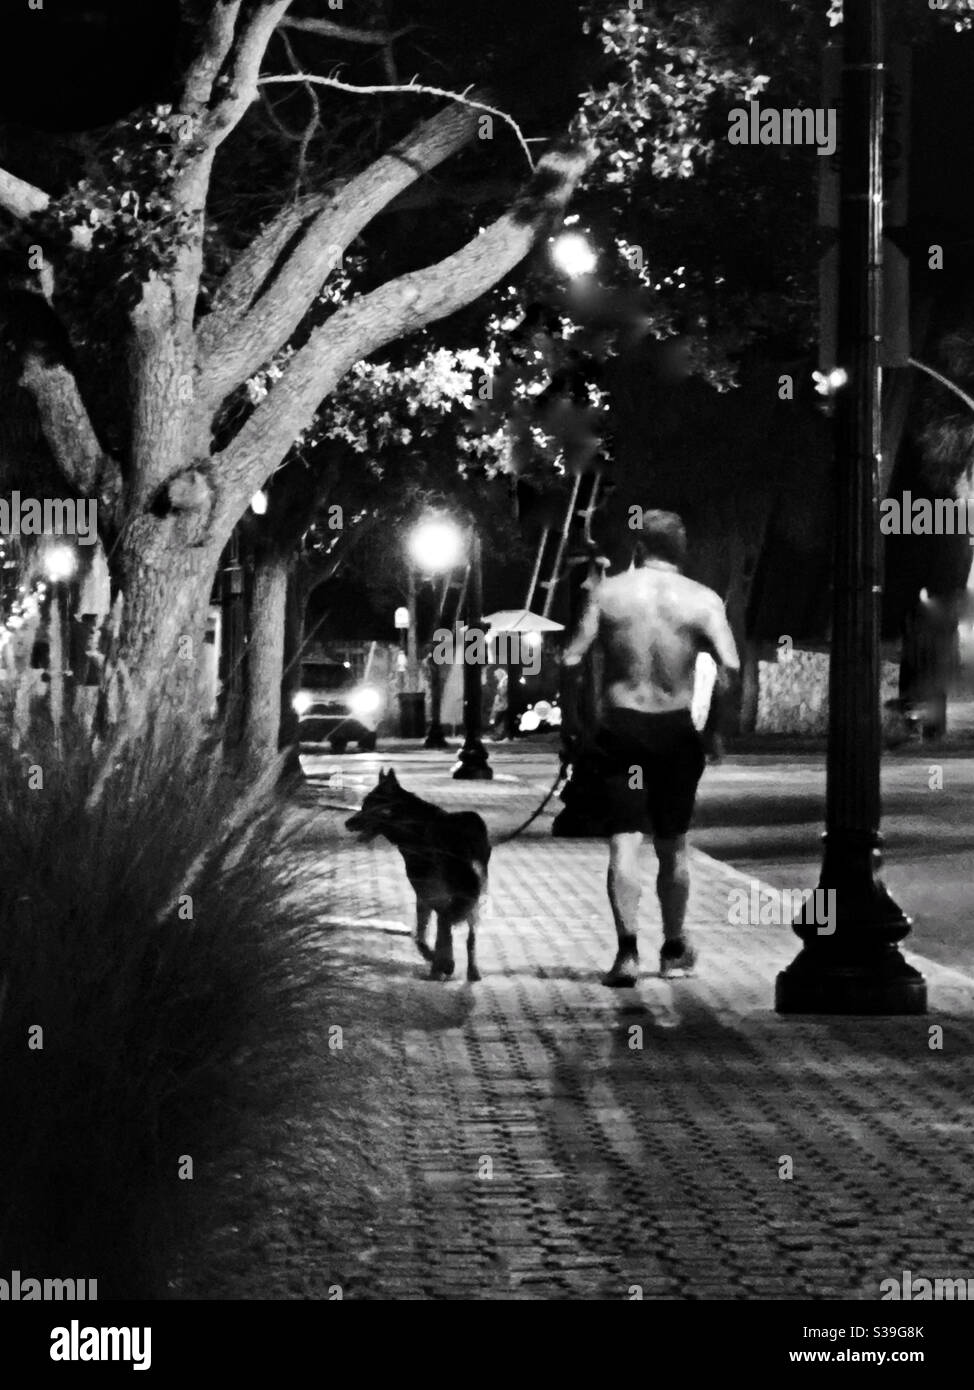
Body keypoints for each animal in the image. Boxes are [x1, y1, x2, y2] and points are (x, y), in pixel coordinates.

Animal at [345, 767, 489, 984]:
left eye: (367, 806)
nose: (347, 823)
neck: (413, 826)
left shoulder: (424, 893)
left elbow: (421, 936)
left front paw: (435, 958)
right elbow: (431, 932)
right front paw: (440, 959)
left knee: (445, 925)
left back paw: (442, 965)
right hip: (476, 893)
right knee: (468, 936)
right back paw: (470, 970)